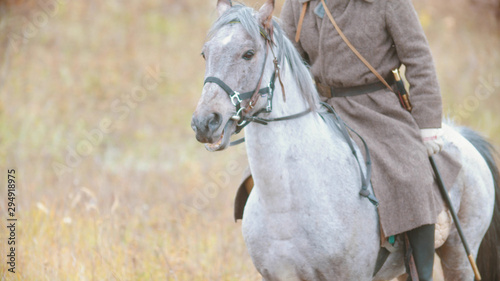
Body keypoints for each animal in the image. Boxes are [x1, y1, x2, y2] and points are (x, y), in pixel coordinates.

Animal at [190, 1, 500, 278]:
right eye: (205, 54)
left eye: (248, 53)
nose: (205, 122)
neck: (286, 201)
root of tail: (462, 137)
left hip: (459, 255)